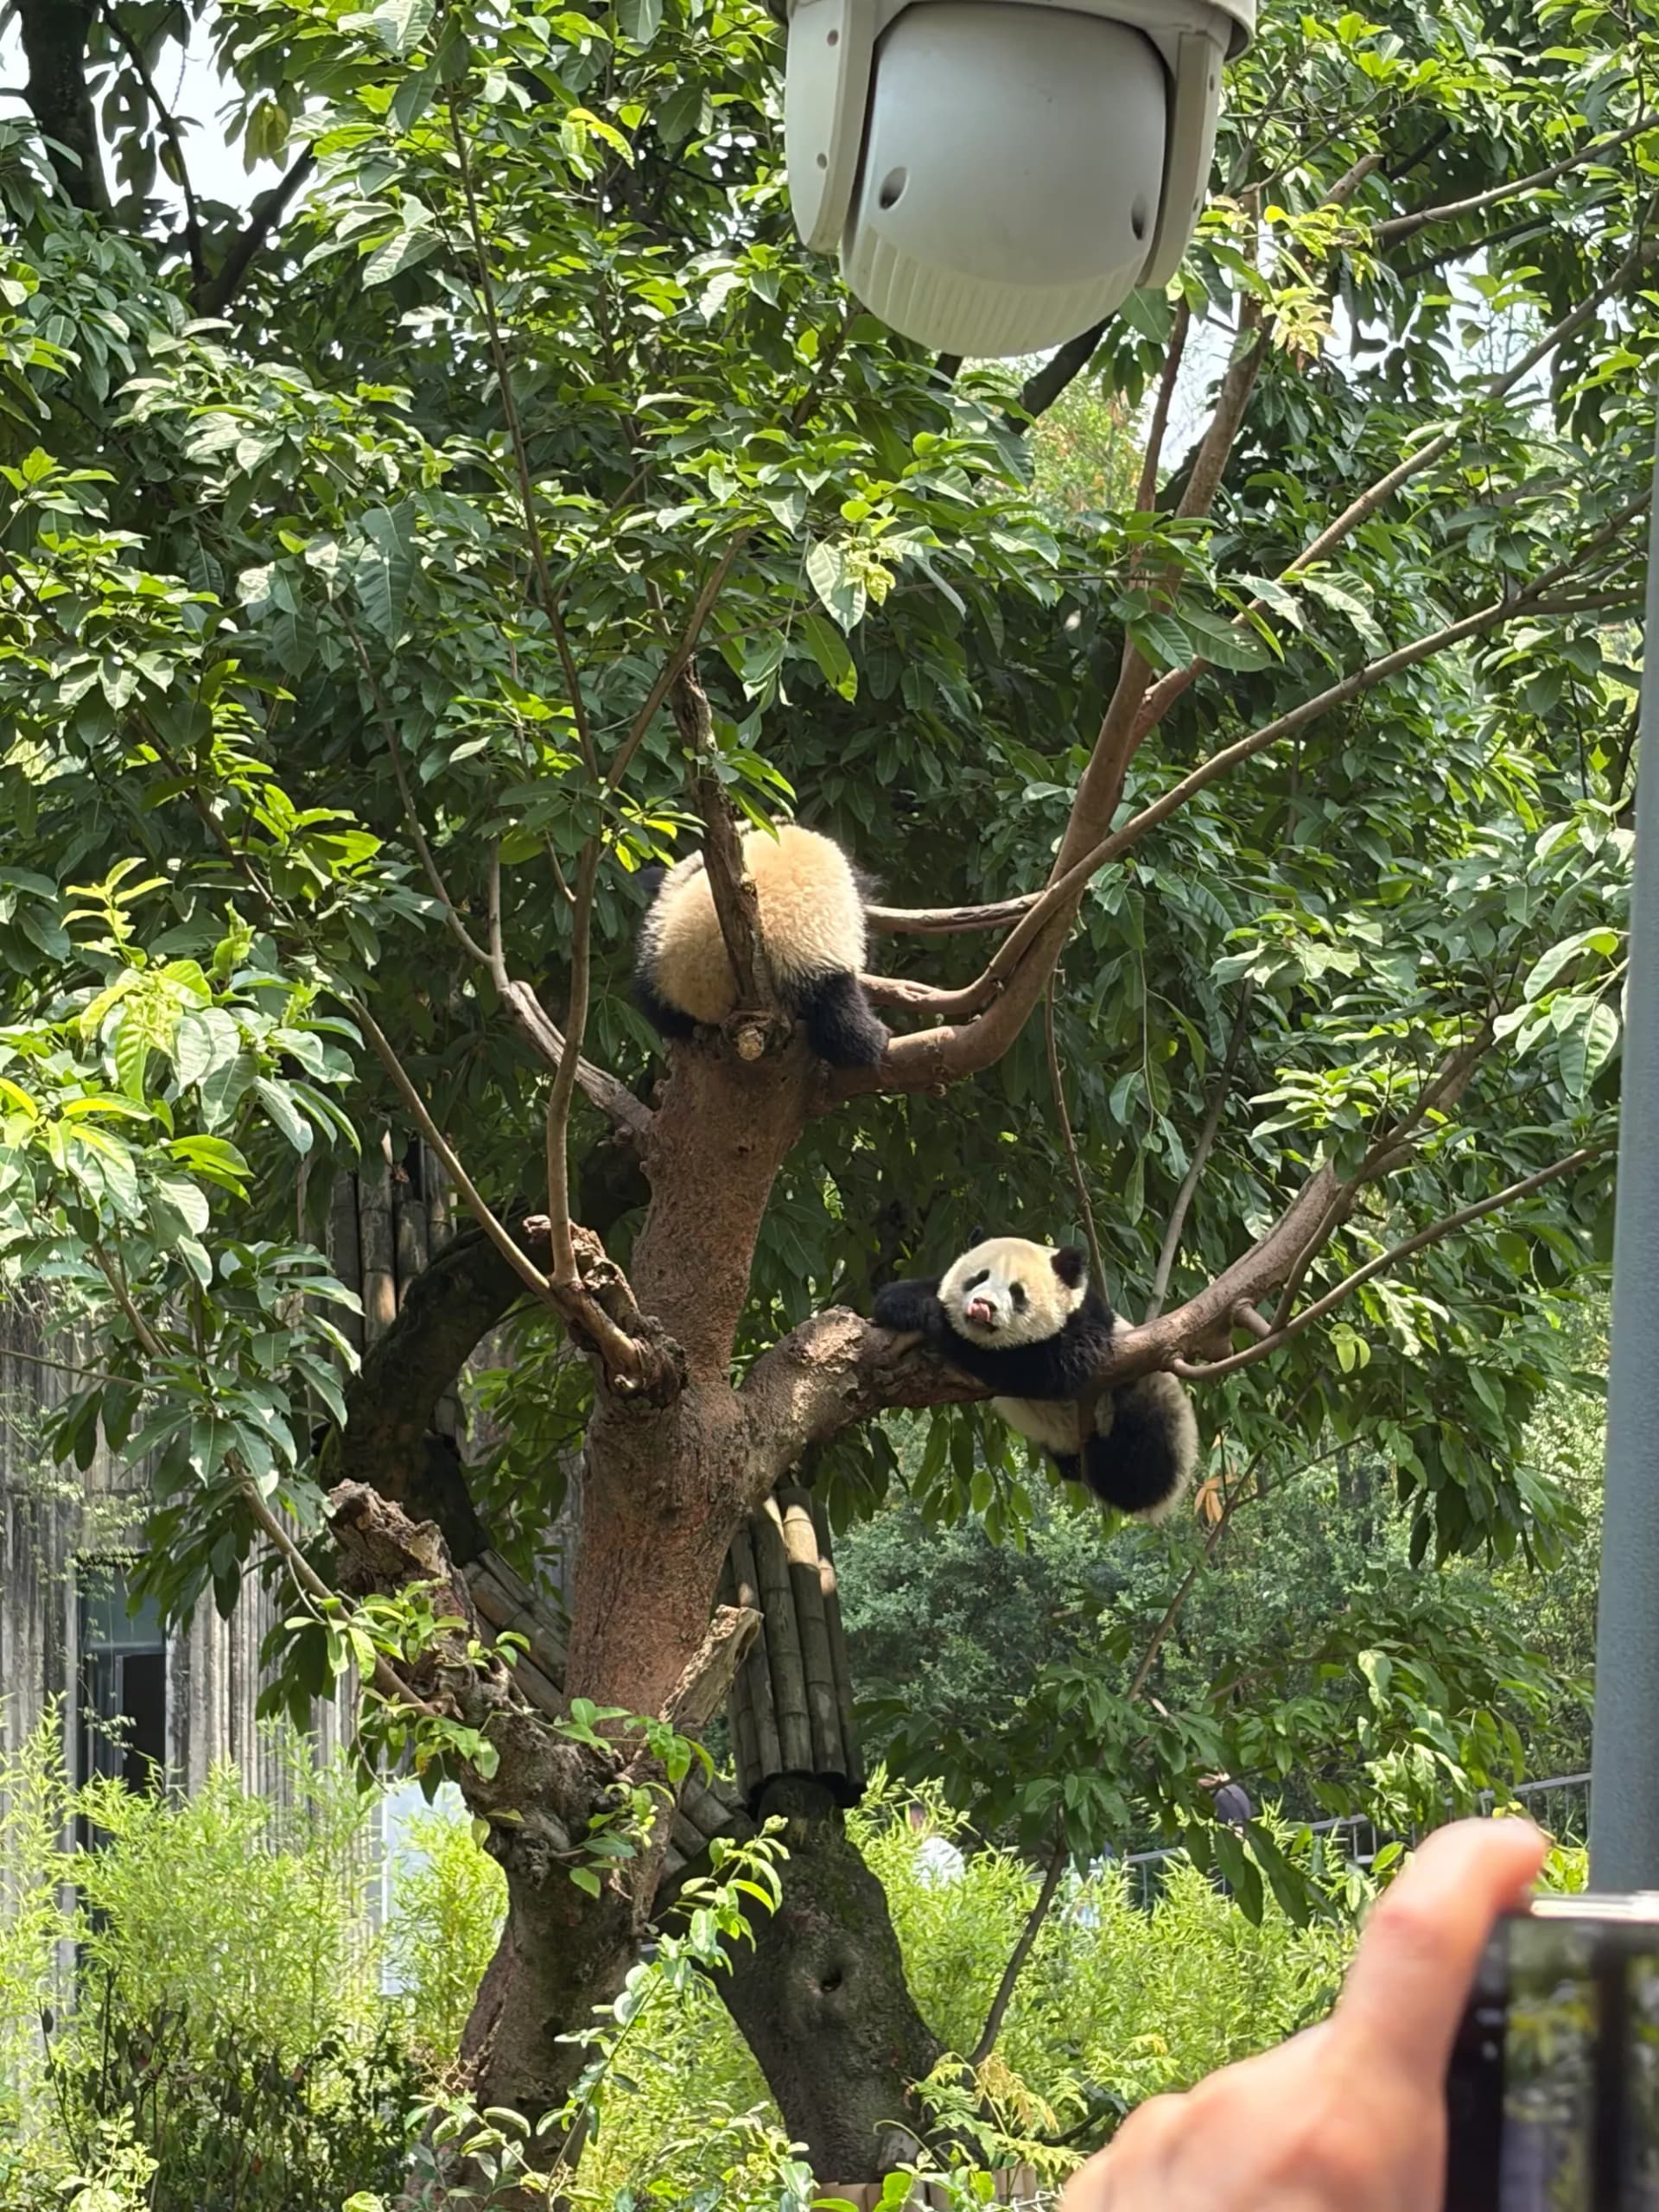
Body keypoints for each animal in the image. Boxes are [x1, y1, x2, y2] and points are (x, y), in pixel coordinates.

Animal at [872, 1235, 1198, 1520]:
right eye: (978, 1278)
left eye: (1017, 1292)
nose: (983, 1305)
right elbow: (907, 1292)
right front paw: (905, 1304)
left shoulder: (1088, 1323)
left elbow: (1053, 1364)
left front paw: (941, 1324)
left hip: (1152, 1398)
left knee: (1137, 1465)